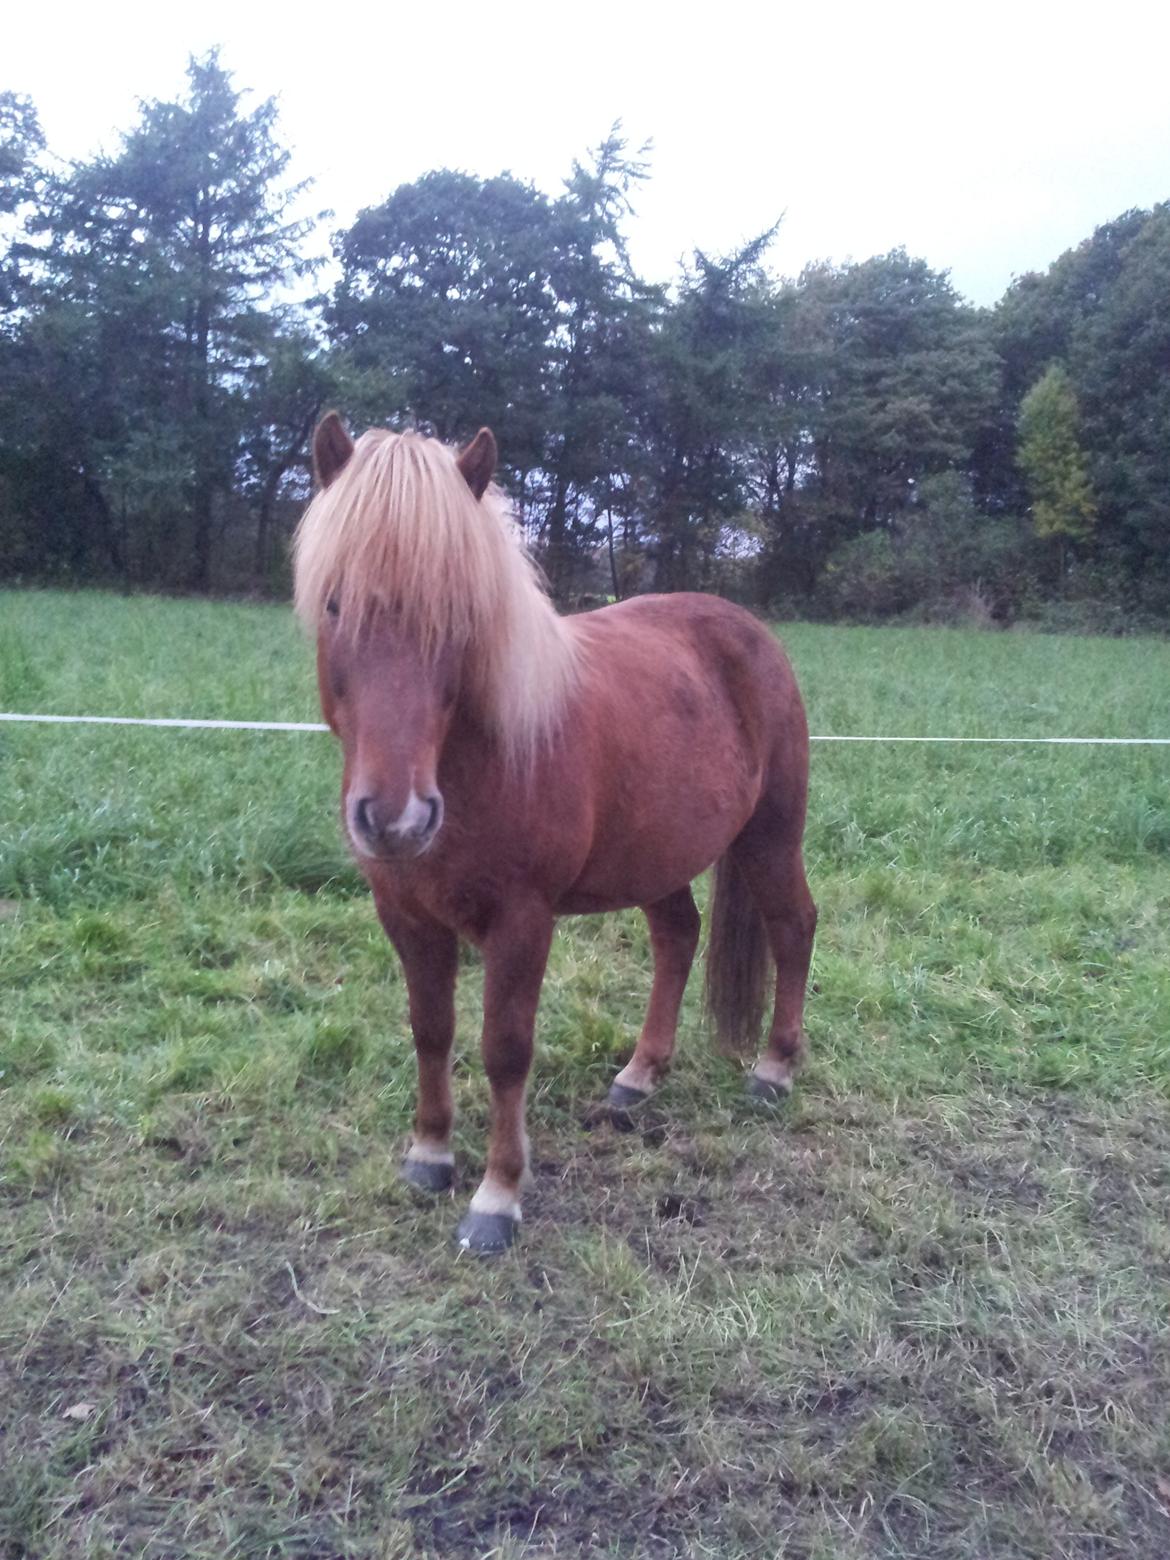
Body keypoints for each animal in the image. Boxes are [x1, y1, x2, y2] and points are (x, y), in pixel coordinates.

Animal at [293, 414, 817, 1254]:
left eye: (460, 616)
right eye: (336, 603)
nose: (397, 819)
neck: (483, 760)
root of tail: (751, 632)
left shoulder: (522, 922)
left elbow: (505, 1052)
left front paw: (497, 1198)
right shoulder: (405, 917)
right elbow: (430, 1030)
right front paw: (429, 1154)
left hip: (771, 837)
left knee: (793, 925)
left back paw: (773, 1070)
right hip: (658, 855)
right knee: (678, 936)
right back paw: (639, 1076)